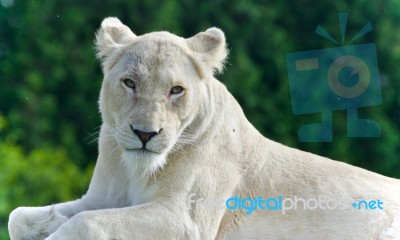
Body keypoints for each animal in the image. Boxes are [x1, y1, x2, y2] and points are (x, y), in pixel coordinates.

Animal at [7, 17, 400, 240]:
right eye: (130, 83)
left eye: (176, 90)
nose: (145, 135)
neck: (135, 170)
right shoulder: (101, 199)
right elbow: (19, 217)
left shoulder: (185, 220)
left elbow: (87, 224)